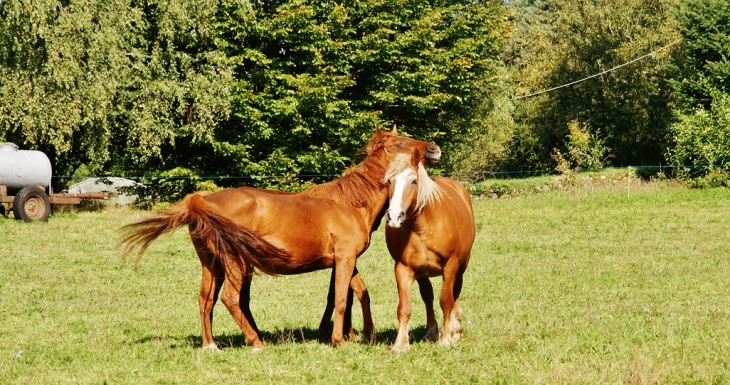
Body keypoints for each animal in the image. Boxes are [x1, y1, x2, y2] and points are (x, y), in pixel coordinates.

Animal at [121, 127, 438, 350]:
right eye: (399, 144)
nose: (434, 149)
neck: (349, 202)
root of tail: (202, 200)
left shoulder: (343, 261)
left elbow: (355, 293)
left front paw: (355, 334)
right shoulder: (345, 258)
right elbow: (341, 298)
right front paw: (340, 339)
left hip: (212, 264)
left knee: (205, 300)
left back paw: (211, 345)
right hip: (235, 264)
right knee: (230, 299)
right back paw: (255, 341)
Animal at [378, 149, 474, 352]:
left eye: (413, 181)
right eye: (389, 181)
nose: (394, 216)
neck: (422, 227)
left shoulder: (451, 266)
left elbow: (446, 300)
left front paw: (446, 337)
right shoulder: (402, 268)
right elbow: (404, 307)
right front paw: (400, 344)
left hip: (461, 266)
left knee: (456, 292)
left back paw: (456, 329)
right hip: (423, 273)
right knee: (428, 297)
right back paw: (431, 332)